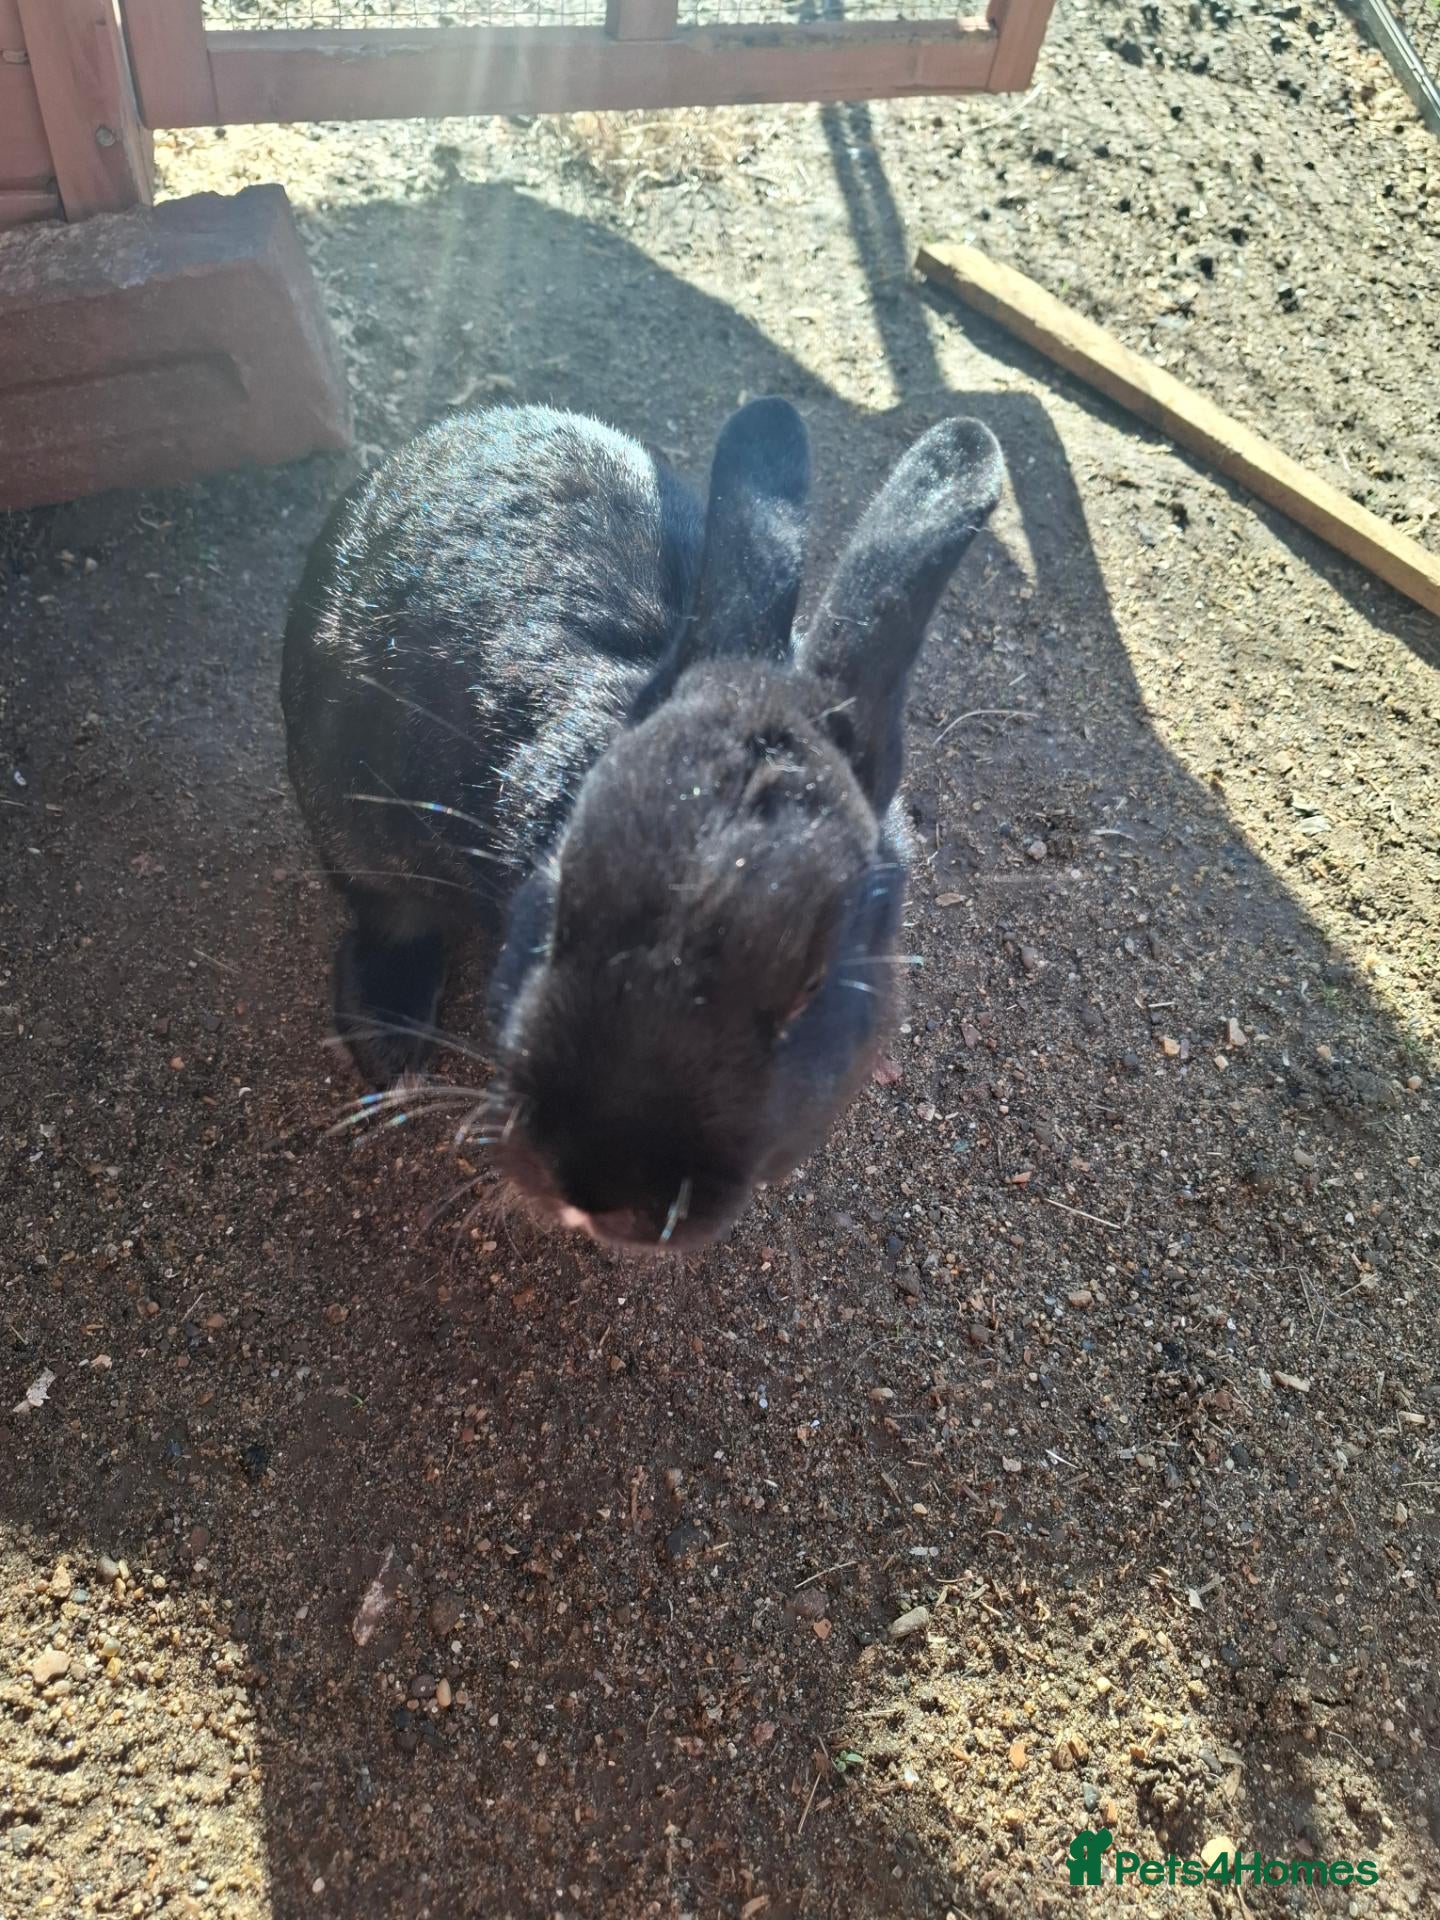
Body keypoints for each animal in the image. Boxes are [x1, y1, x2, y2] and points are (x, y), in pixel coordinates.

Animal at [282, 399, 1003, 1251]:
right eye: (555, 903)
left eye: (815, 985)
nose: (597, 1186)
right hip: (351, 824)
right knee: (385, 920)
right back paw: (395, 1049)